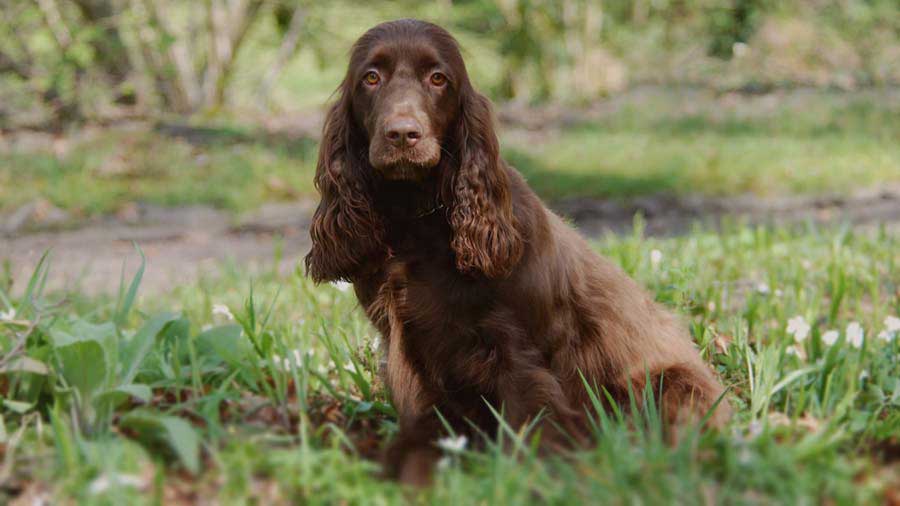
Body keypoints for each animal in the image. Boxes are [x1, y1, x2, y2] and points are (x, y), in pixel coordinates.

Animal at [306, 19, 728, 486]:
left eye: (438, 79)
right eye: (371, 77)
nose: (402, 134)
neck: (417, 220)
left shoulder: (518, 357)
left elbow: (528, 433)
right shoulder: (408, 353)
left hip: (673, 384)